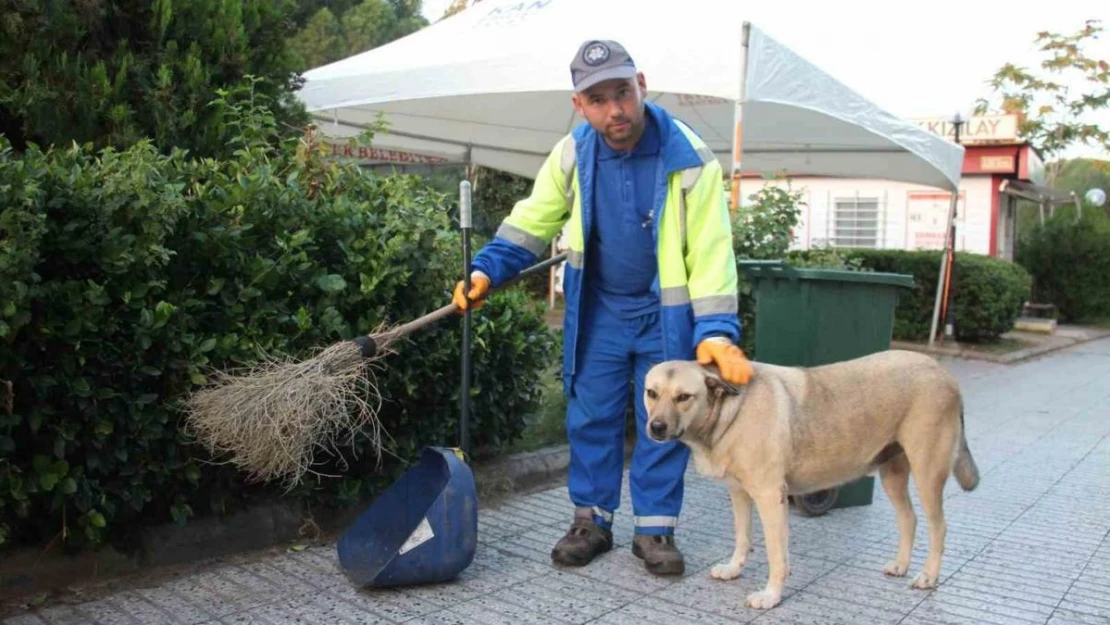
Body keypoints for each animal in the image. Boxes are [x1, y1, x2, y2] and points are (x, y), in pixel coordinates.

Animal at [643, 353, 981, 612]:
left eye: (684, 397)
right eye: (651, 393)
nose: (656, 428)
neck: (731, 411)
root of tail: (943, 372)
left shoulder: (770, 497)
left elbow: (776, 555)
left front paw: (772, 595)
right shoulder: (739, 493)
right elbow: (742, 538)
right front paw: (734, 569)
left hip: (927, 474)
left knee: (938, 527)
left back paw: (928, 576)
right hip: (893, 475)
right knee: (909, 519)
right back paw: (900, 565)